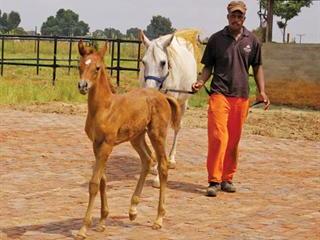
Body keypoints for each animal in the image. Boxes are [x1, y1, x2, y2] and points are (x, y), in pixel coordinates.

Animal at [75, 39, 180, 238]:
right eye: (79, 65)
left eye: (97, 68)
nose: (83, 86)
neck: (104, 108)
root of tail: (163, 96)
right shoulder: (96, 145)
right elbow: (103, 180)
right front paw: (102, 222)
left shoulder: (107, 145)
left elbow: (94, 183)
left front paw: (84, 228)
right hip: (136, 137)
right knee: (147, 160)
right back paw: (132, 210)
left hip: (157, 134)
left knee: (162, 165)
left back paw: (158, 219)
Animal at [139, 29, 199, 188]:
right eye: (143, 62)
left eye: (163, 62)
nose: (150, 91)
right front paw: (154, 166)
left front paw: (158, 177)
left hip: (182, 104)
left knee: (177, 128)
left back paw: (171, 159)